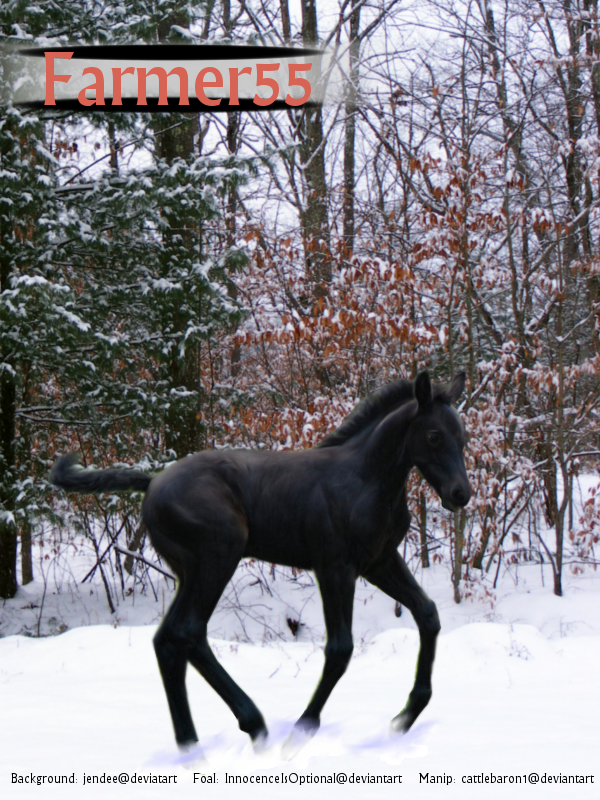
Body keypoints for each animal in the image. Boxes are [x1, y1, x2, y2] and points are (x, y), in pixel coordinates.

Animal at [51, 368, 472, 752]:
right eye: (433, 436)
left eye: (463, 438)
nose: (460, 494)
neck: (366, 481)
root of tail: (151, 482)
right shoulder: (335, 568)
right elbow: (340, 649)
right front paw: (302, 731)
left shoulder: (379, 561)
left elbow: (428, 615)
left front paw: (405, 717)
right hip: (217, 557)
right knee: (187, 632)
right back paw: (253, 726)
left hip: (190, 571)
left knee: (169, 640)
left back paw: (192, 746)